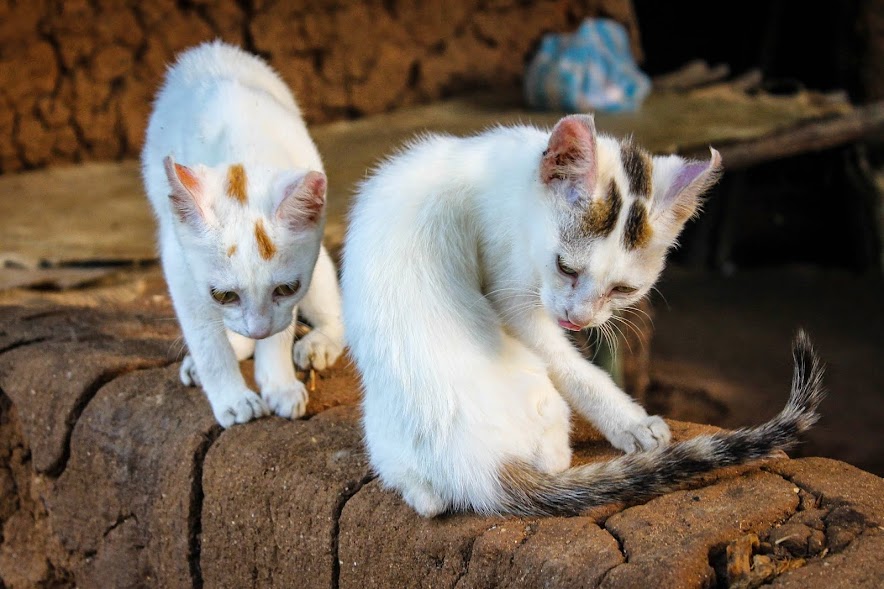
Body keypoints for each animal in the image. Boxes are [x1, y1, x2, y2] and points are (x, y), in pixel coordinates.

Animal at [140, 41, 344, 428]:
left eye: (286, 288)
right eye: (224, 295)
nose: (258, 328)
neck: (243, 156)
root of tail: (212, 47)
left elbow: (282, 325)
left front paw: (279, 384)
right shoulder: (179, 263)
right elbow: (207, 338)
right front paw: (232, 399)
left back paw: (319, 342)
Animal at [342, 113, 824, 516]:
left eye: (624, 289)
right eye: (566, 268)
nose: (579, 319)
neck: (514, 176)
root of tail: (480, 468)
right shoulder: (506, 278)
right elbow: (568, 364)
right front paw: (629, 421)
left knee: (427, 500)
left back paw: (423, 494)